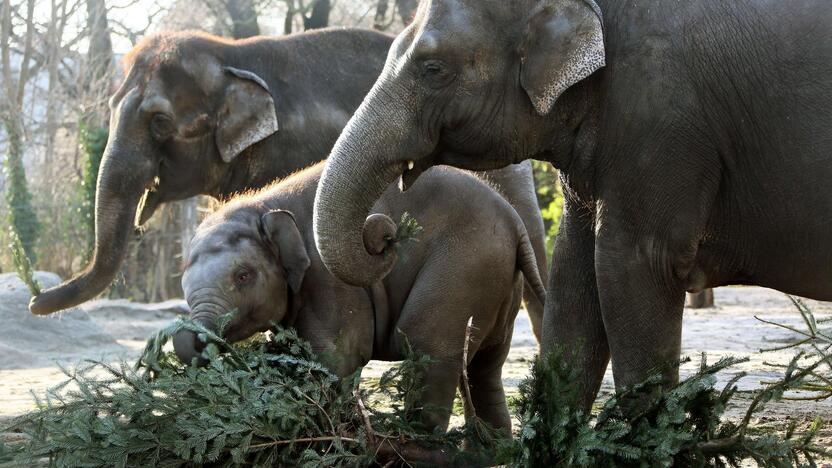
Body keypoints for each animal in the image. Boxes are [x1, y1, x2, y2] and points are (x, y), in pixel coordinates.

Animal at [171, 163, 544, 434]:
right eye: (183, 283)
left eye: (243, 276)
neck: (263, 206)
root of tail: (514, 221)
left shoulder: (329, 281)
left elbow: (338, 357)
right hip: (498, 284)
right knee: (486, 368)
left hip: (463, 267)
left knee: (429, 351)